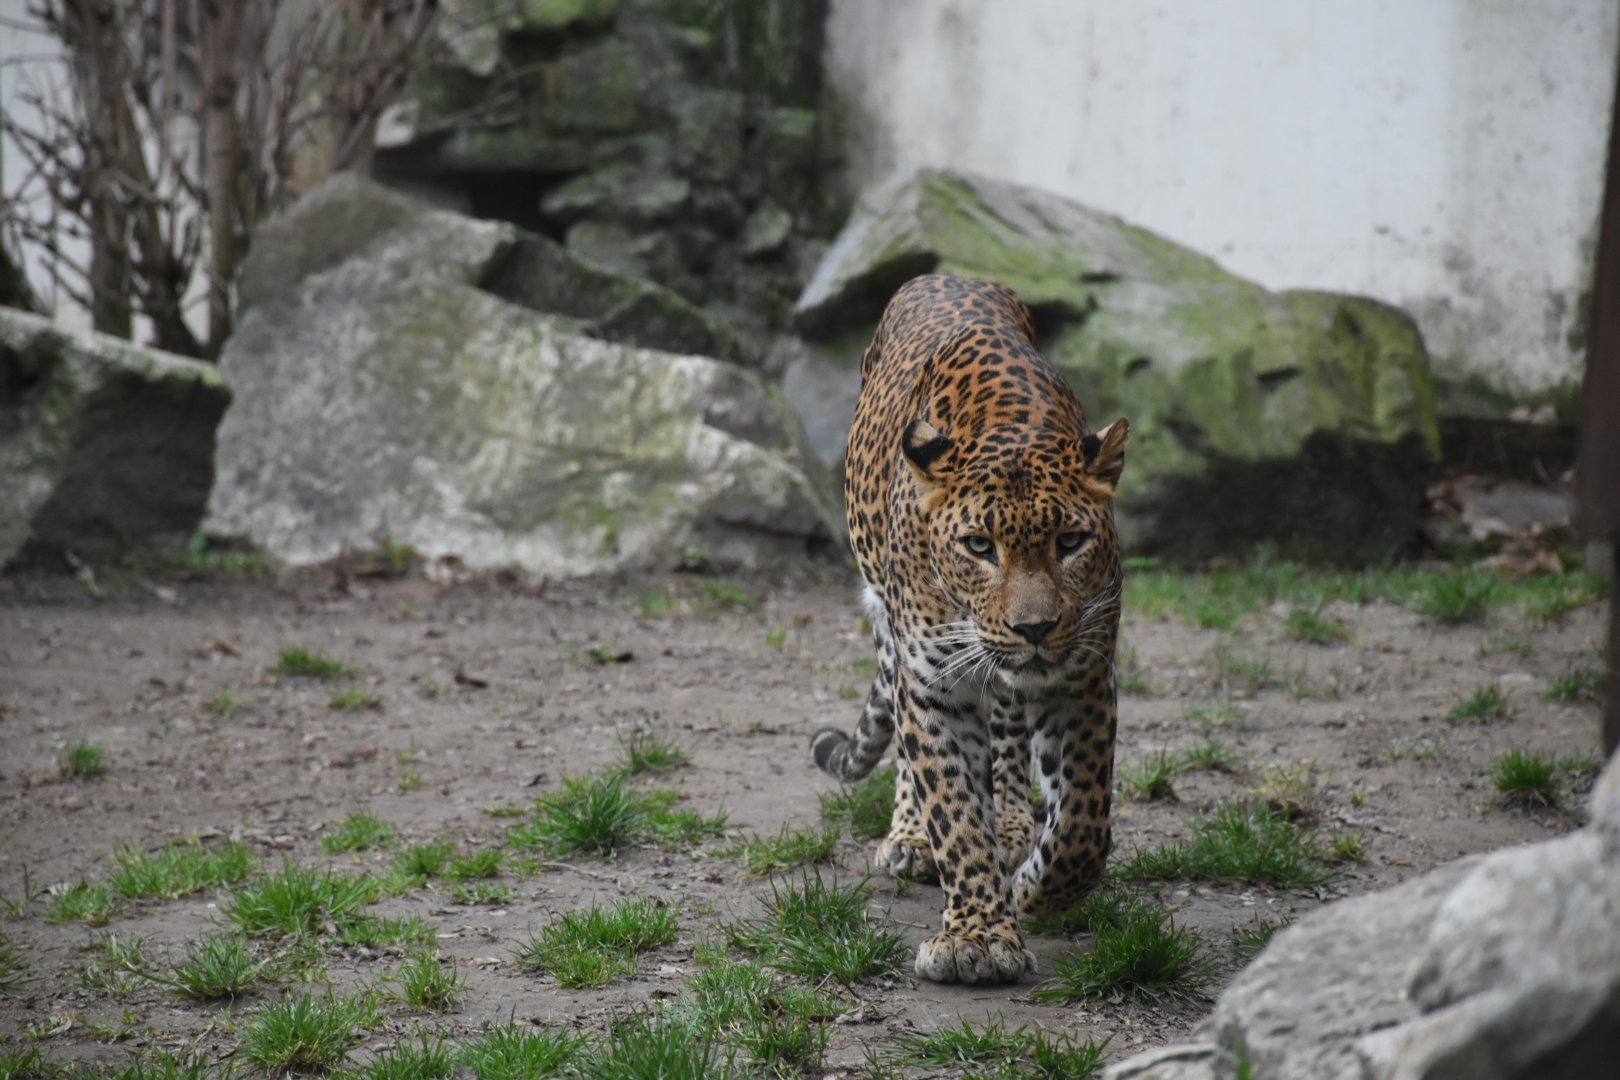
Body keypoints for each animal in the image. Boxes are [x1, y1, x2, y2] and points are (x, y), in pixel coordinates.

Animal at [809, 273, 1128, 985]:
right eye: (979, 546)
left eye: (1071, 542)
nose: (1034, 627)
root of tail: (947, 276)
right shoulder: (932, 683)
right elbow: (952, 808)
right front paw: (977, 936)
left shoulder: (1084, 673)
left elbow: (1082, 820)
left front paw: (1035, 888)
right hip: (901, 639)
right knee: (915, 753)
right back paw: (908, 838)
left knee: (1008, 732)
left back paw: (1009, 825)